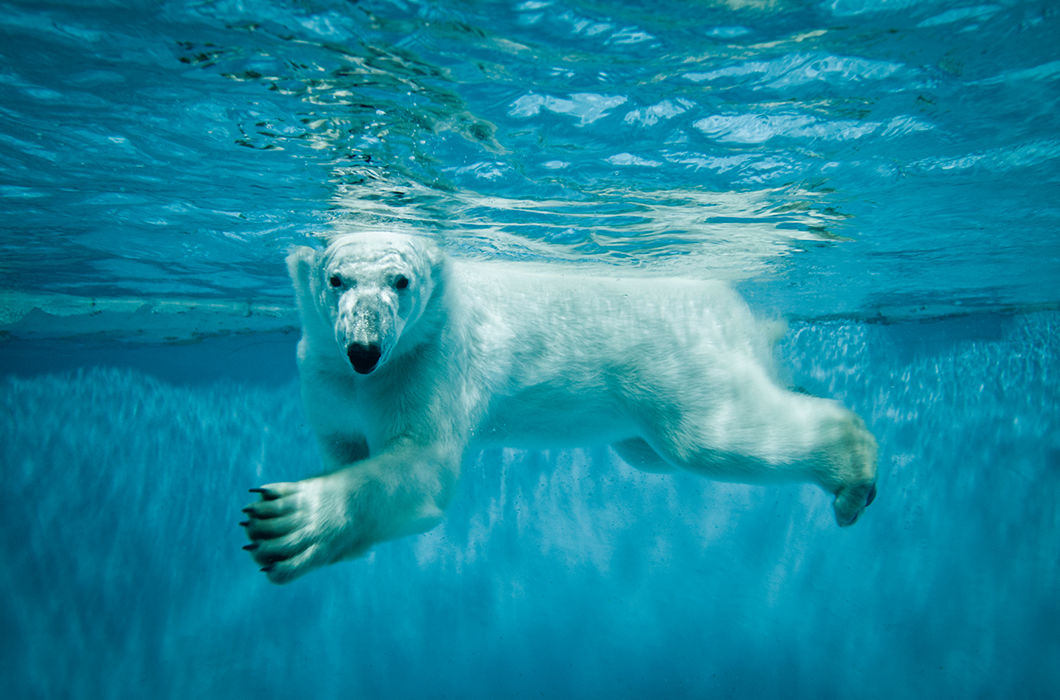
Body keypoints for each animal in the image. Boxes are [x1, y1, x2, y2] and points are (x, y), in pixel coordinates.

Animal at [242, 232, 877, 581]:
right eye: (335, 279)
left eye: (401, 280)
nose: (365, 349)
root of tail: (737, 310)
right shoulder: (323, 376)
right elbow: (344, 444)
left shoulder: (431, 361)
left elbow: (421, 465)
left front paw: (287, 521)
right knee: (651, 452)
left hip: (674, 361)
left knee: (709, 439)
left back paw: (853, 471)